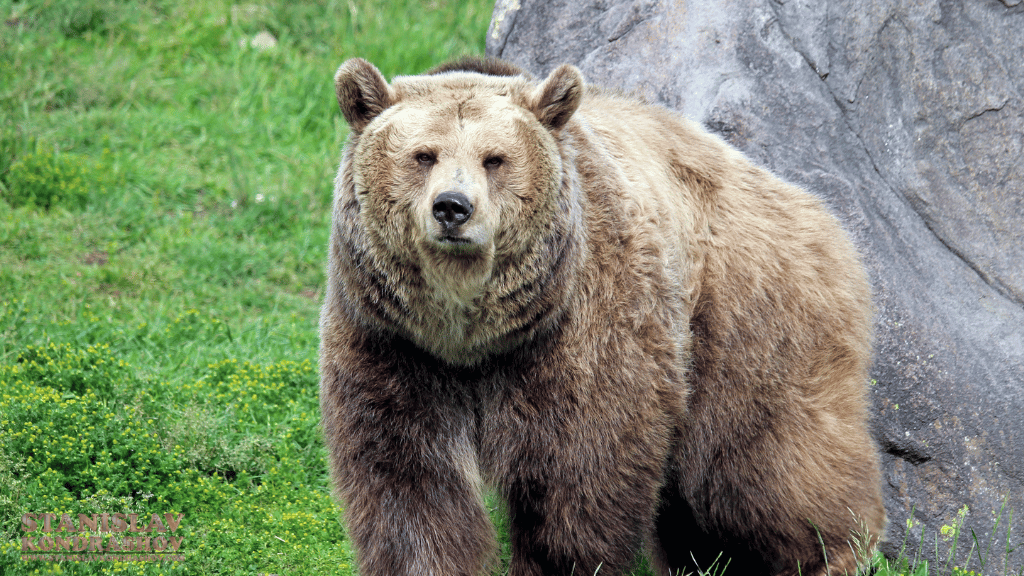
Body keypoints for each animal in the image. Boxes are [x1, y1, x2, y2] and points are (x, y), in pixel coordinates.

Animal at [321, 54, 888, 573]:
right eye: (424, 155)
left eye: (494, 159)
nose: (453, 207)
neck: (471, 336)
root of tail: (815, 208)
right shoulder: (393, 344)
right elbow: (408, 483)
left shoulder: (583, 329)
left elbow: (580, 471)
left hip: (746, 317)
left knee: (764, 466)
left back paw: (836, 551)